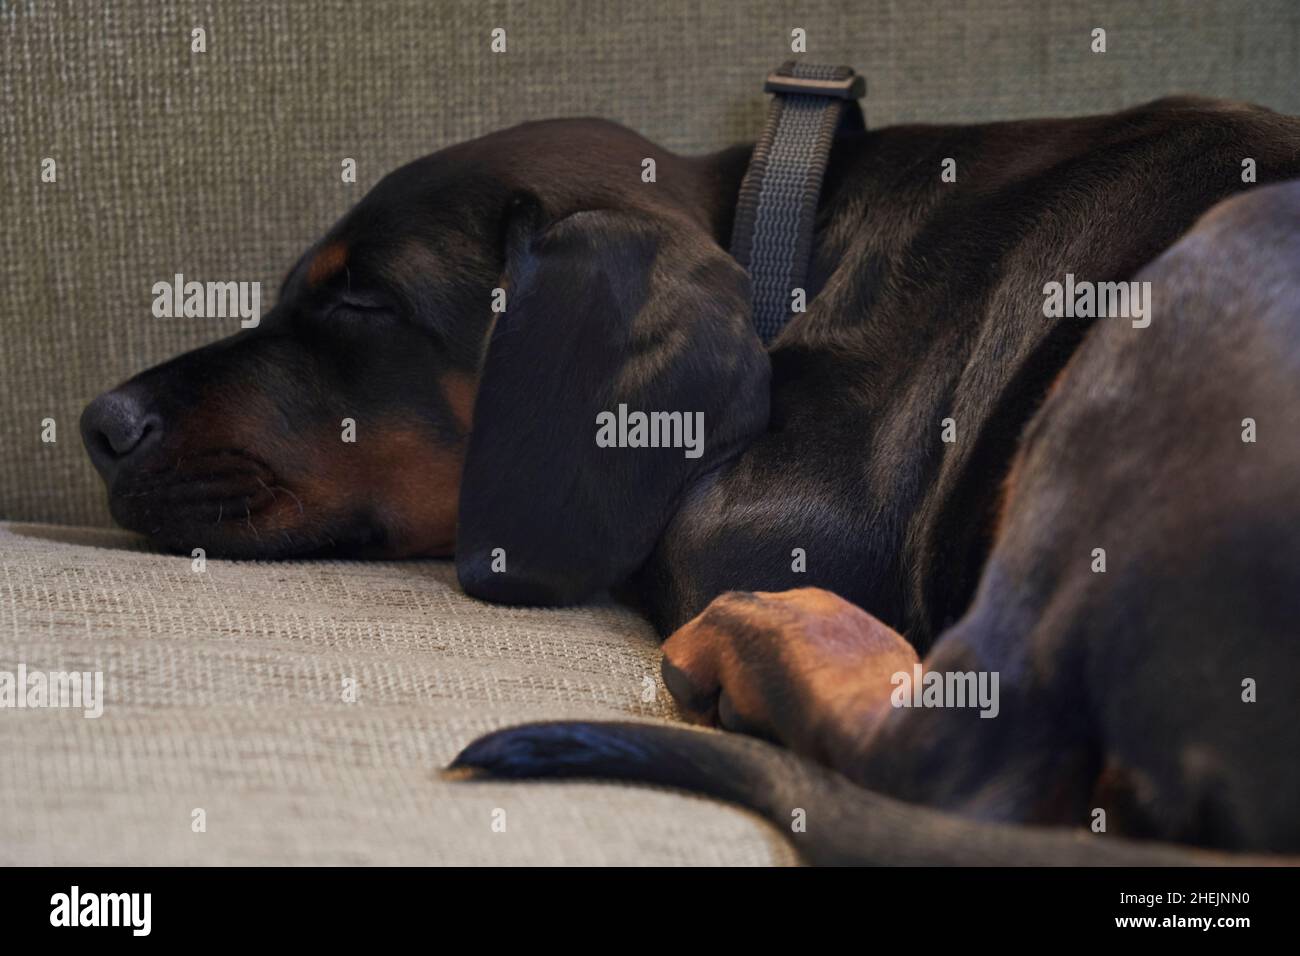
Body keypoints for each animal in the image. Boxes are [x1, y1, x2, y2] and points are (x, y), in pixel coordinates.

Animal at [81, 97, 1300, 868]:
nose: (100, 424)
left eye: (363, 301)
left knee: (955, 755)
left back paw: (760, 638)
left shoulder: (777, 515)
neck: (790, 238)